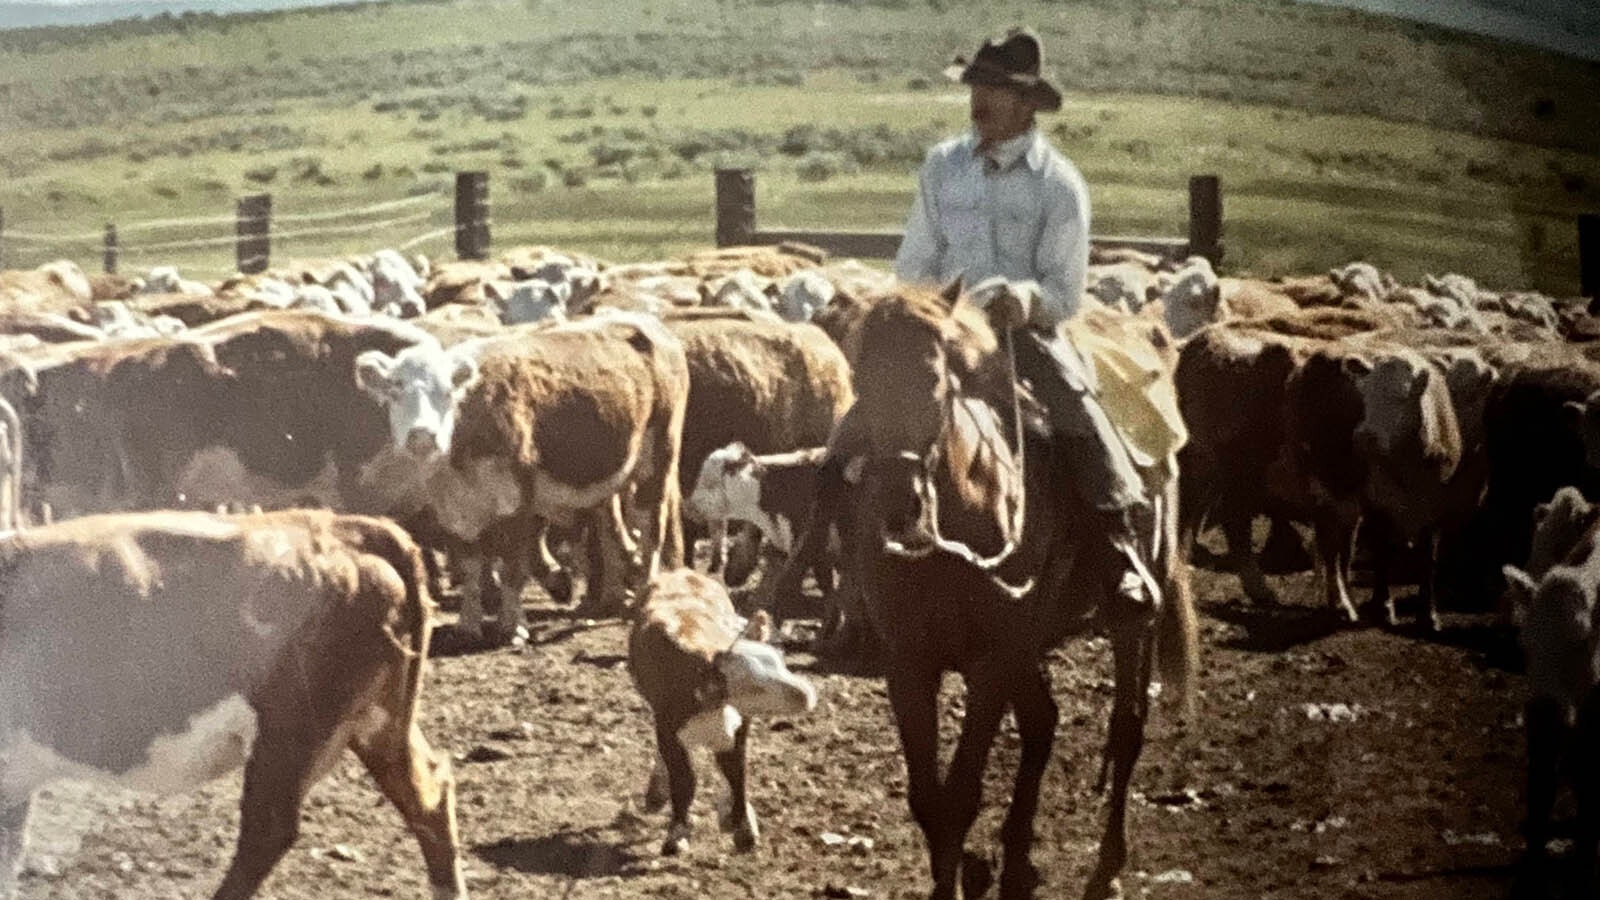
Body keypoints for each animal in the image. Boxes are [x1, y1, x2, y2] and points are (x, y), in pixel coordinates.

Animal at [356, 312, 688, 634]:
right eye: (395, 390)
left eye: (448, 393)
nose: (423, 435)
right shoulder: (455, 511)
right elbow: (471, 566)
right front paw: (468, 623)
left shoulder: (518, 500)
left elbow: (512, 566)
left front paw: (513, 625)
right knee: (609, 530)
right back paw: (608, 600)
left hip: (659, 459)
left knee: (651, 529)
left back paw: (640, 597)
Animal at [627, 566, 819, 851]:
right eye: (753, 686)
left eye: (781, 663)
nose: (807, 695)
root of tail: (681, 572)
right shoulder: (667, 730)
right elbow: (684, 780)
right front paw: (676, 834)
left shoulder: (738, 728)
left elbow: (736, 773)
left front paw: (742, 826)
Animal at [844, 281, 1196, 896]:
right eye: (861, 378)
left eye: (935, 379)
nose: (898, 506)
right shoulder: (908, 664)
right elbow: (928, 800)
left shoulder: (991, 663)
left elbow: (960, 796)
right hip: (1027, 645)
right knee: (1043, 723)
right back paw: (1014, 862)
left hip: (1133, 624)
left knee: (1127, 729)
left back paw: (1107, 866)